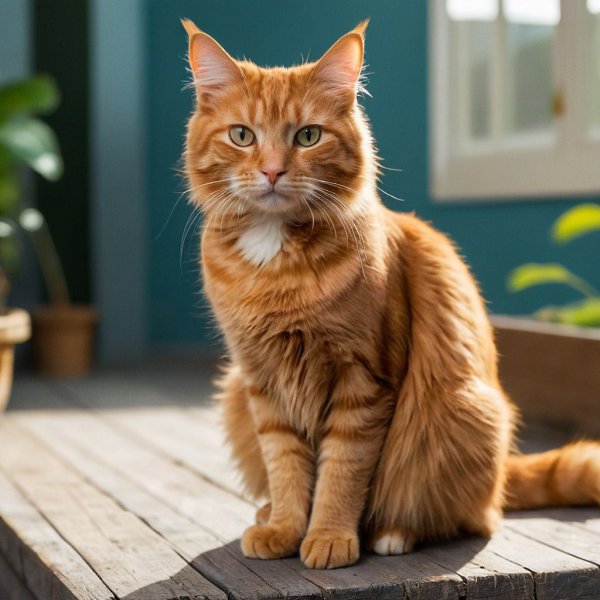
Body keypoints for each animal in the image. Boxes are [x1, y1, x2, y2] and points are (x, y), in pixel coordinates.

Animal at [183, 21, 600, 568]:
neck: (277, 269)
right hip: (234, 392)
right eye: (242, 136)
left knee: (473, 517)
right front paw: (286, 529)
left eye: (308, 136)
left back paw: (392, 533)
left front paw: (330, 537)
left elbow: (341, 472)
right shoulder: (260, 381)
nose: (272, 171)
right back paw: (268, 513)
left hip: (460, 416)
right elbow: (287, 466)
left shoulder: (363, 381)